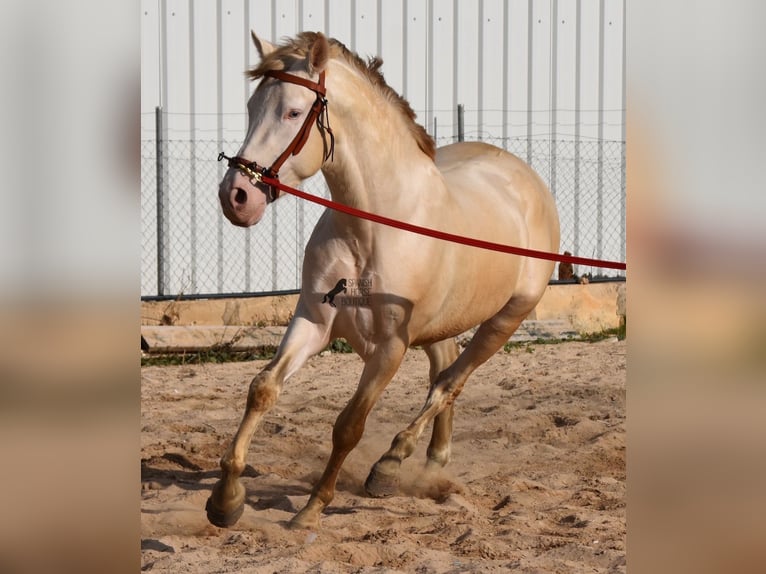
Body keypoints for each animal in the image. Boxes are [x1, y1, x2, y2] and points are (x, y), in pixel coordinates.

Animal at [207, 30, 560, 532]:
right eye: (253, 106)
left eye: (293, 112)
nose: (236, 197)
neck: (373, 225)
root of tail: (522, 174)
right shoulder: (313, 321)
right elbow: (263, 389)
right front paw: (225, 499)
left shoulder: (391, 347)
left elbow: (349, 426)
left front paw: (311, 510)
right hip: (440, 326)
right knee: (443, 369)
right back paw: (431, 461)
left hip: (506, 319)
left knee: (449, 383)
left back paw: (391, 465)